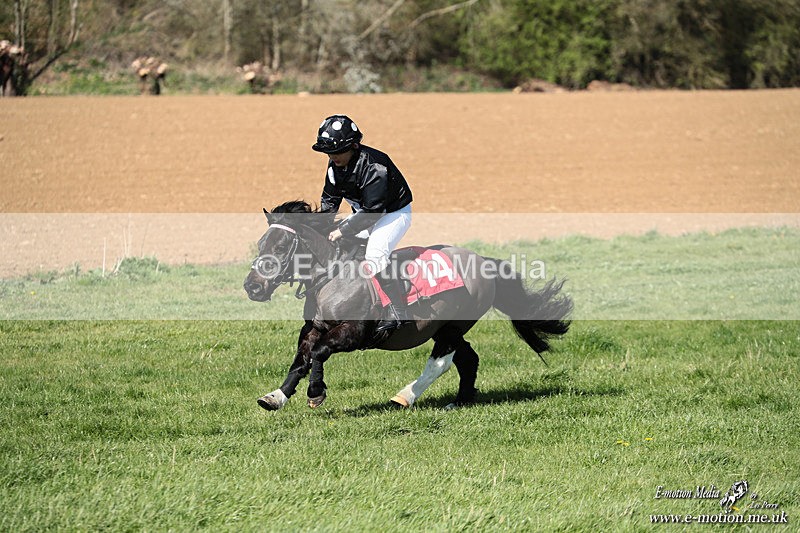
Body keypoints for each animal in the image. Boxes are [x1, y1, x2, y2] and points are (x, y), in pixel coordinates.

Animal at [243, 200, 573, 411]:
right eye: (260, 244)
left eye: (281, 247)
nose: (252, 287)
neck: (333, 277)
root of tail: (484, 262)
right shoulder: (313, 327)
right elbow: (301, 359)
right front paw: (275, 396)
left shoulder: (353, 333)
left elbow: (320, 352)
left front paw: (315, 393)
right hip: (444, 328)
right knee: (468, 358)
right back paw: (461, 400)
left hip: (452, 326)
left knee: (442, 361)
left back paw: (405, 396)